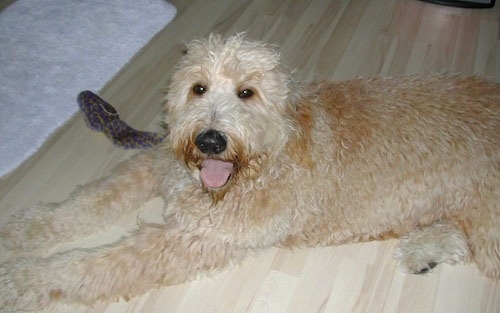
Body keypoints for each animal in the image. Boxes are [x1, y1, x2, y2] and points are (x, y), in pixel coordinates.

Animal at [0, 34, 500, 310]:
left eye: (247, 92)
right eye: (198, 88)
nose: (210, 141)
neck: (265, 155)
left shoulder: (200, 237)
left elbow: (101, 263)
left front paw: (22, 280)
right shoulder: (157, 164)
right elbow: (89, 200)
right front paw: (17, 234)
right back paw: (424, 251)